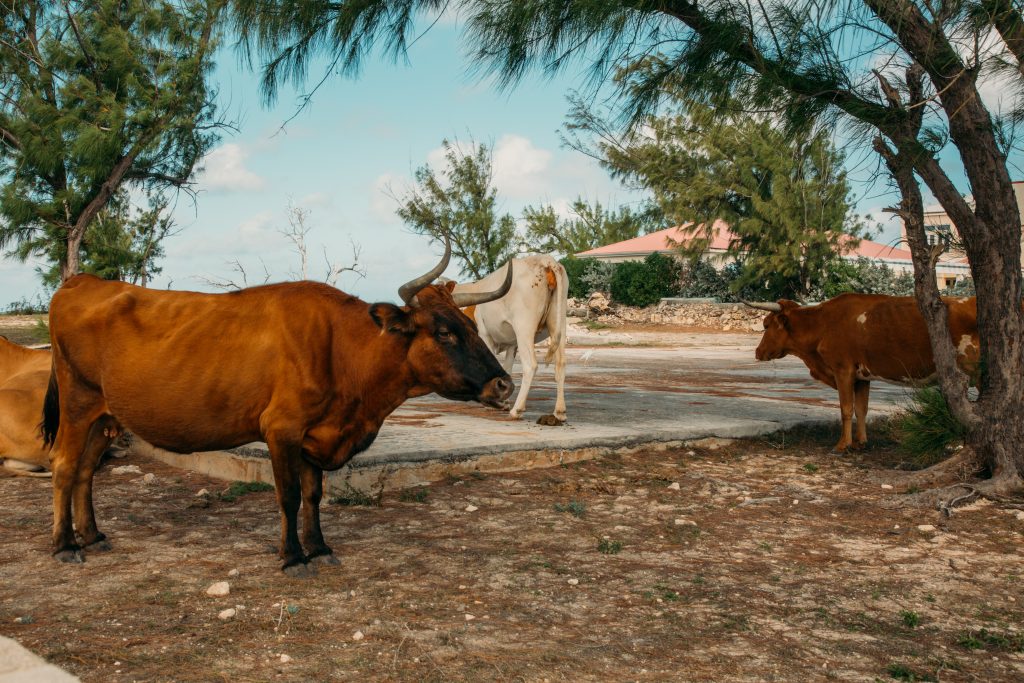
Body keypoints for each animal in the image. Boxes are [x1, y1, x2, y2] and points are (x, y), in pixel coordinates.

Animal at [44, 232, 516, 573]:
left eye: (471, 327)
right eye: (444, 332)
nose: (503, 385)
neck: (341, 348)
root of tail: (83, 281)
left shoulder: (312, 436)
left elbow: (313, 495)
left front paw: (319, 547)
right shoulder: (282, 429)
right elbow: (288, 495)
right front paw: (292, 557)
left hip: (105, 416)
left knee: (85, 471)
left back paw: (93, 536)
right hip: (77, 404)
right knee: (64, 467)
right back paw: (64, 545)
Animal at [454, 253, 569, 419]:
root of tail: (546, 261)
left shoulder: (485, 335)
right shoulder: (511, 344)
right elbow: (507, 369)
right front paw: (503, 400)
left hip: (524, 327)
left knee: (530, 365)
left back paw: (517, 409)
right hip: (559, 322)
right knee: (560, 364)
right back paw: (559, 411)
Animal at [749, 294, 978, 454]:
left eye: (766, 325)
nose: (758, 352)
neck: (823, 323)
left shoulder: (843, 370)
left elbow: (846, 409)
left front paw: (842, 445)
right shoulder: (862, 377)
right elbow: (861, 409)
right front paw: (860, 443)